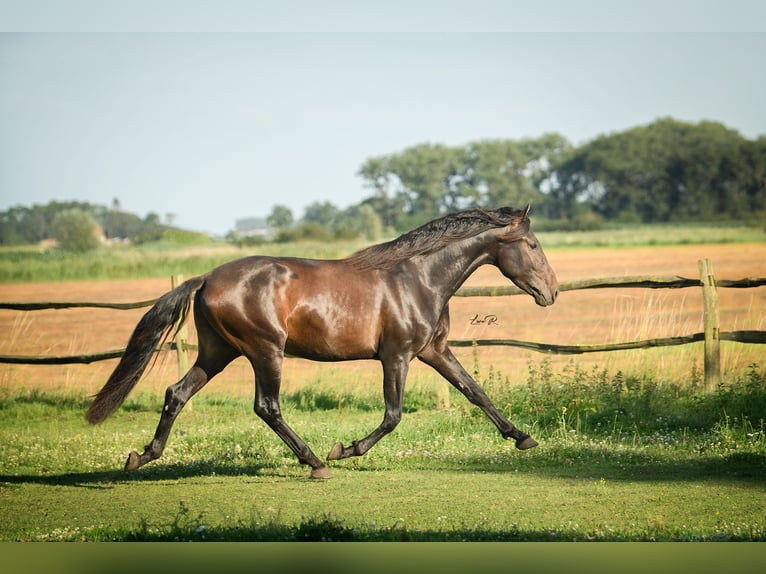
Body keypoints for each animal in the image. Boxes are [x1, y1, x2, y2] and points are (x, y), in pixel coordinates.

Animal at [87, 205, 560, 480]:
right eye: (533, 244)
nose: (552, 292)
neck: (417, 278)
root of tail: (205, 278)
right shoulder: (397, 356)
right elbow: (393, 415)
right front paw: (344, 450)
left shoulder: (433, 350)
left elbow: (476, 392)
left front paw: (522, 437)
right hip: (264, 350)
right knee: (267, 407)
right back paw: (315, 463)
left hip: (218, 352)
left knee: (177, 393)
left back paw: (141, 456)